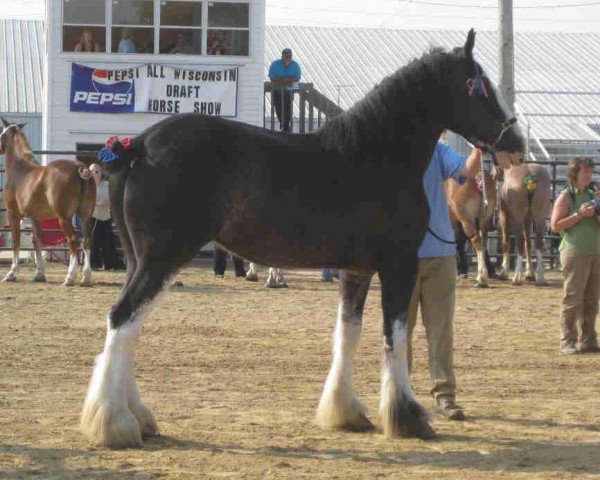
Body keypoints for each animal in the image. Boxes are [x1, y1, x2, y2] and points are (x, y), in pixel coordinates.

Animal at [0, 119, 96, 284]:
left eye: (1, 133)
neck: (19, 169)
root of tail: (80, 168)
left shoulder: (13, 214)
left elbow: (16, 242)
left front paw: (11, 274)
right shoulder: (35, 218)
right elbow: (38, 242)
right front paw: (39, 274)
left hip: (64, 218)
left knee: (73, 241)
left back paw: (69, 277)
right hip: (85, 216)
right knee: (87, 240)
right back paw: (86, 278)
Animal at [81, 30, 524, 448]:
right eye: (477, 84)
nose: (515, 144)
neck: (376, 155)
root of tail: (139, 144)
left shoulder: (356, 271)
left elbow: (347, 334)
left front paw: (345, 412)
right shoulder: (398, 266)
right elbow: (394, 336)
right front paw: (408, 417)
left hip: (139, 260)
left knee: (127, 328)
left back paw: (136, 417)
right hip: (161, 259)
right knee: (123, 319)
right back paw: (115, 424)